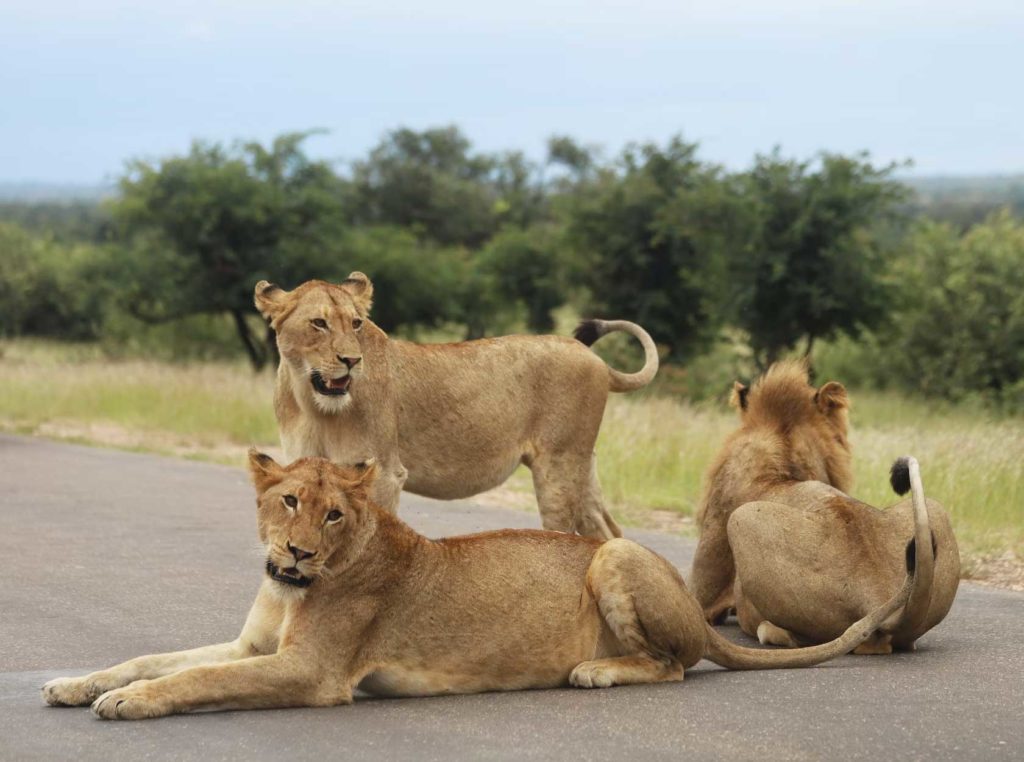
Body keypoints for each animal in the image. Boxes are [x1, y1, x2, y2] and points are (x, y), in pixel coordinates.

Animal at [44, 448, 917, 716]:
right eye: (289, 501)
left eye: (334, 513)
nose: (295, 552)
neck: (291, 586)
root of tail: (704, 615)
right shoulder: (251, 644)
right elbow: (156, 658)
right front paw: (75, 684)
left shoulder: (313, 672)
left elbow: (195, 682)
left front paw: (126, 704)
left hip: (613, 558)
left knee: (675, 664)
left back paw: (595, 670)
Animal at [251, 272, 659, 536]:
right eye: (319, 323)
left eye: (355, 324)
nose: (352, 360)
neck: (310, 401)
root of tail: (596, 361)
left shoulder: (383, 472)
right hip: (580, 466)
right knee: (607, 531)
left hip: (558, 466)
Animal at [688, 360, 958, 651]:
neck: (782, 453)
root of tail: (876, 595)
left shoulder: (705, 596)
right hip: (936, 510)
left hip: (742, 518)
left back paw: (769, 630)